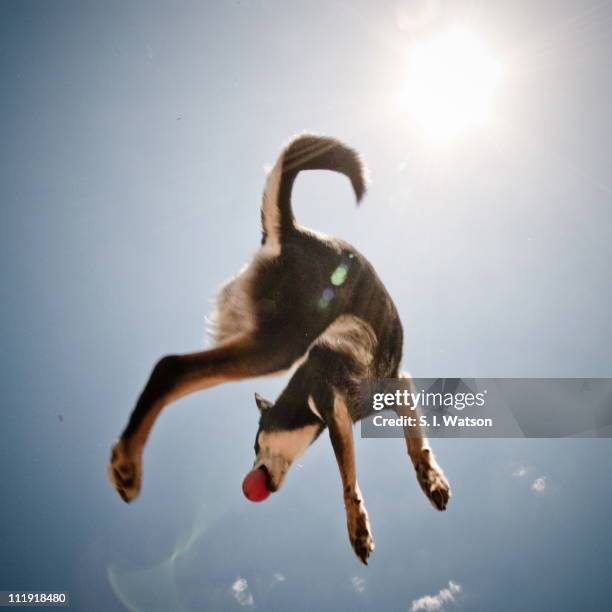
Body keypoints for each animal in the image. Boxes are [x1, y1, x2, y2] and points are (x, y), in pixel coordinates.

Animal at [110, 134, 452, 564]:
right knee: (172, 367)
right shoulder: (343, 407)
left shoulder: (395, 384)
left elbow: (412, 442)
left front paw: (430, 478)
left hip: (270, 336)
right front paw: (358, 524)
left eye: (256, 444)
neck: (305, 397)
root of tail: (292, 232)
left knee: (172, 366)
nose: (249, 474)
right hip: (281, 341)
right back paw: (127, 462)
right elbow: (349, 472)